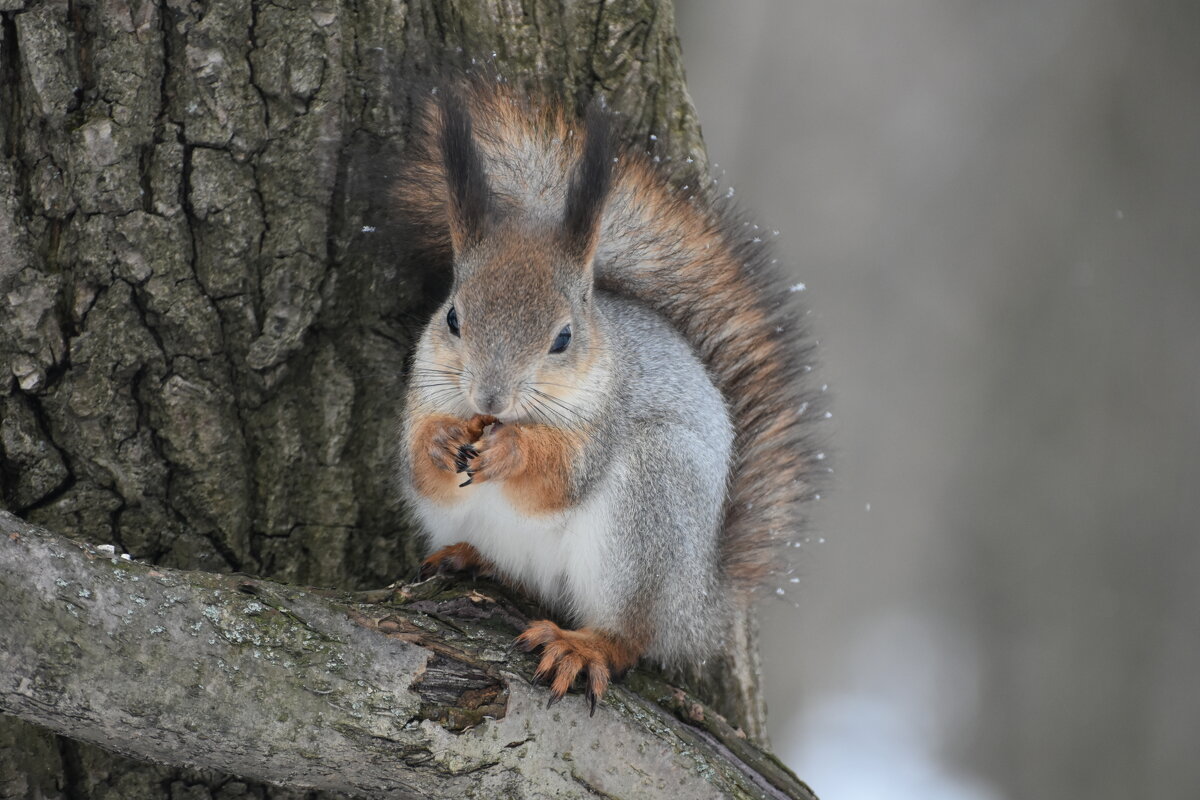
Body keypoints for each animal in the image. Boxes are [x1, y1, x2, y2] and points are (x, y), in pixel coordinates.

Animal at [393, 79, 825, 714]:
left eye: (564, 337)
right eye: (452, 318)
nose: (489, 399)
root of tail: (699, 607)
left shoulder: (603, 423)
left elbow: (561, 477)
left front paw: (514, 450)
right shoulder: (423, 393)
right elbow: (420, 465)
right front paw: (442, 441)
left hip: (648, 511)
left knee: (631, 635)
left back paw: (585, 646)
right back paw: (471, 558)